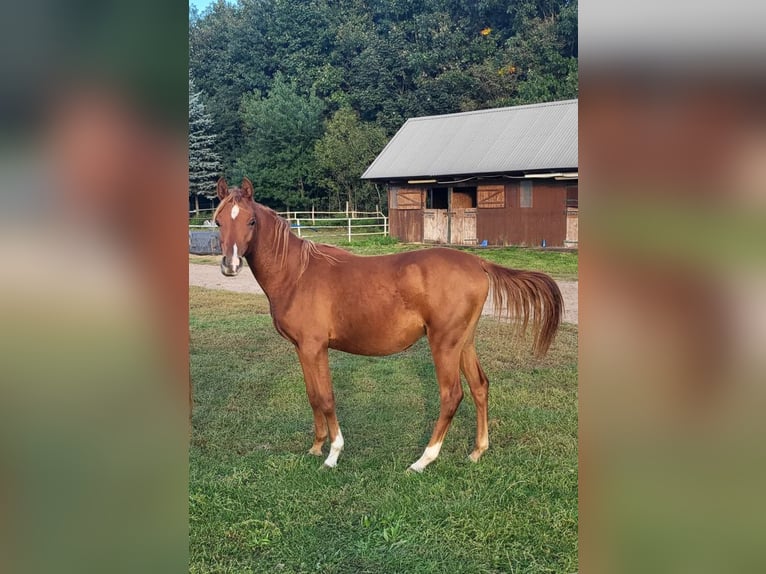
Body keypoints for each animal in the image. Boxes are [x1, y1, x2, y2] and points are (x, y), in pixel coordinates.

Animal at [213, 177, 563, 472]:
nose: (230, 265)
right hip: (464, 342)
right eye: (218, 221)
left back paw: (423, 460)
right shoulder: (303, 349)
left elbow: (326, 397)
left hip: (444, 344)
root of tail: (478, 262)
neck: (297, 274)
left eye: (251, 221)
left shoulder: (315, 347)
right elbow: (313, 395)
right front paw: (316, 447)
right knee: (480, 386)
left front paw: (333, 453)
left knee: (451, 395)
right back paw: (478, 450)